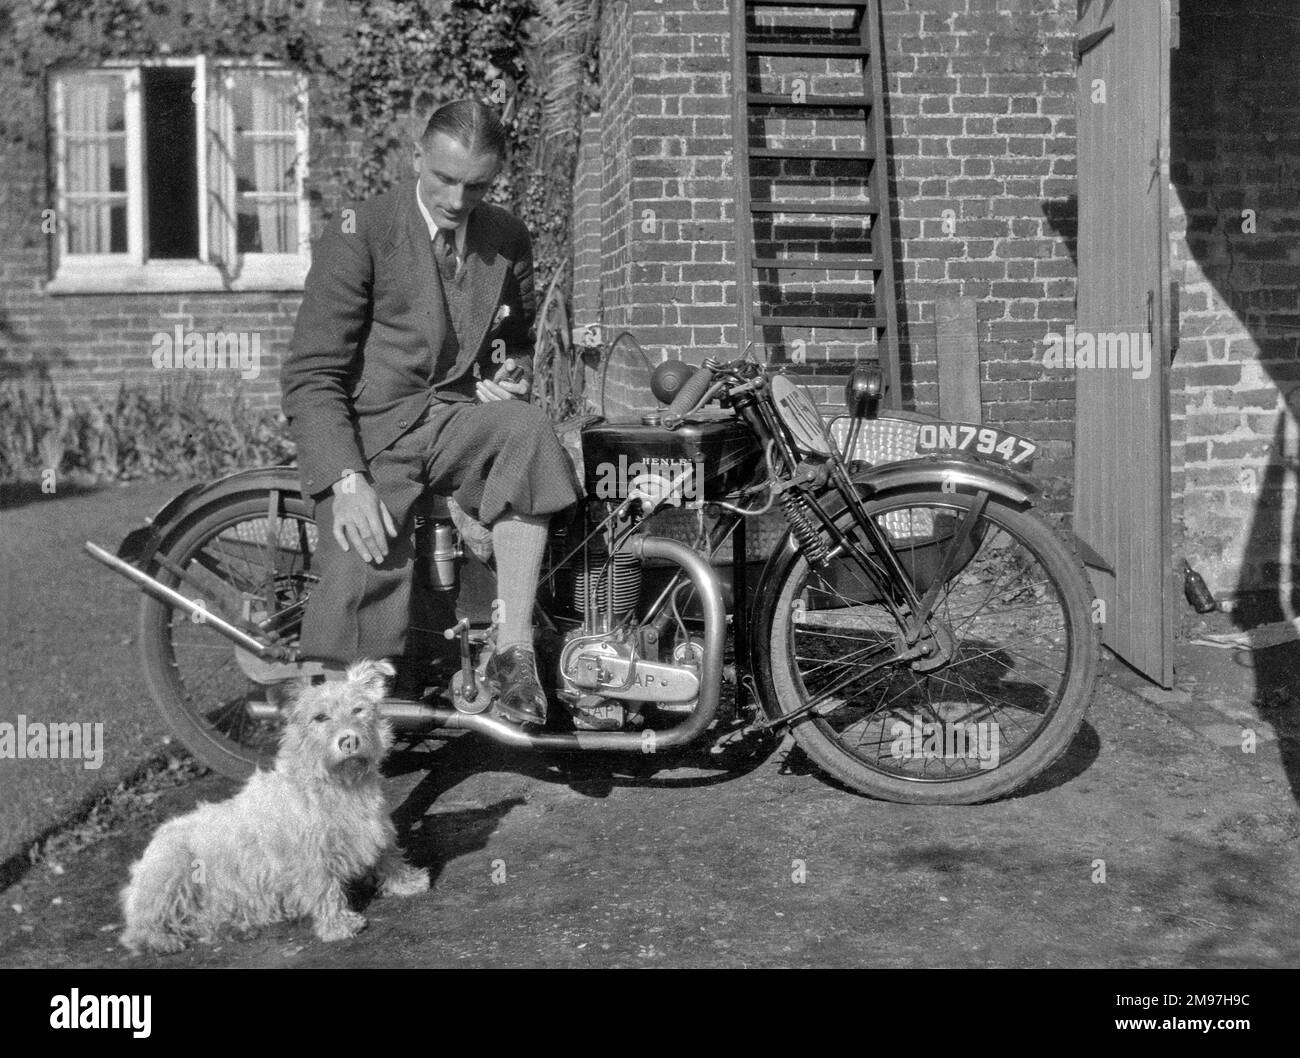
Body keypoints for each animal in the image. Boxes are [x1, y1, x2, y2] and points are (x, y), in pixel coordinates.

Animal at [119, 657, 428, 956]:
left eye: (359, 710)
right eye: (320, 717)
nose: (349, 740)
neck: (337, 783)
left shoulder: (377, 829)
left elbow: (390, 856)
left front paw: (407, 883)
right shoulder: (311, 857)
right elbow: (324, 889)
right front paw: (337, 925)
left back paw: (232, 927)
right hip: (171, 873)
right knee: (138, 931)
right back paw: (162, 941)